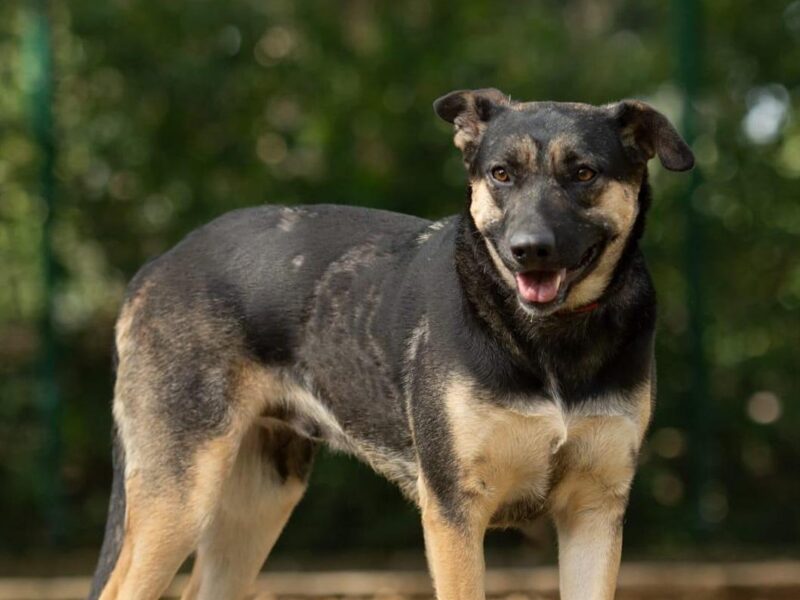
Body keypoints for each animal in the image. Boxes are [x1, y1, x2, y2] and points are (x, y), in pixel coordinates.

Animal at [89, 89, 692, 600]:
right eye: (501, 174)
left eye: (584, 173)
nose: (529, 250)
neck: (549, 340)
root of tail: (156, 267)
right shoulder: (454, 512)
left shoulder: (594, 512)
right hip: (180, 495)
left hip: (260, 497)